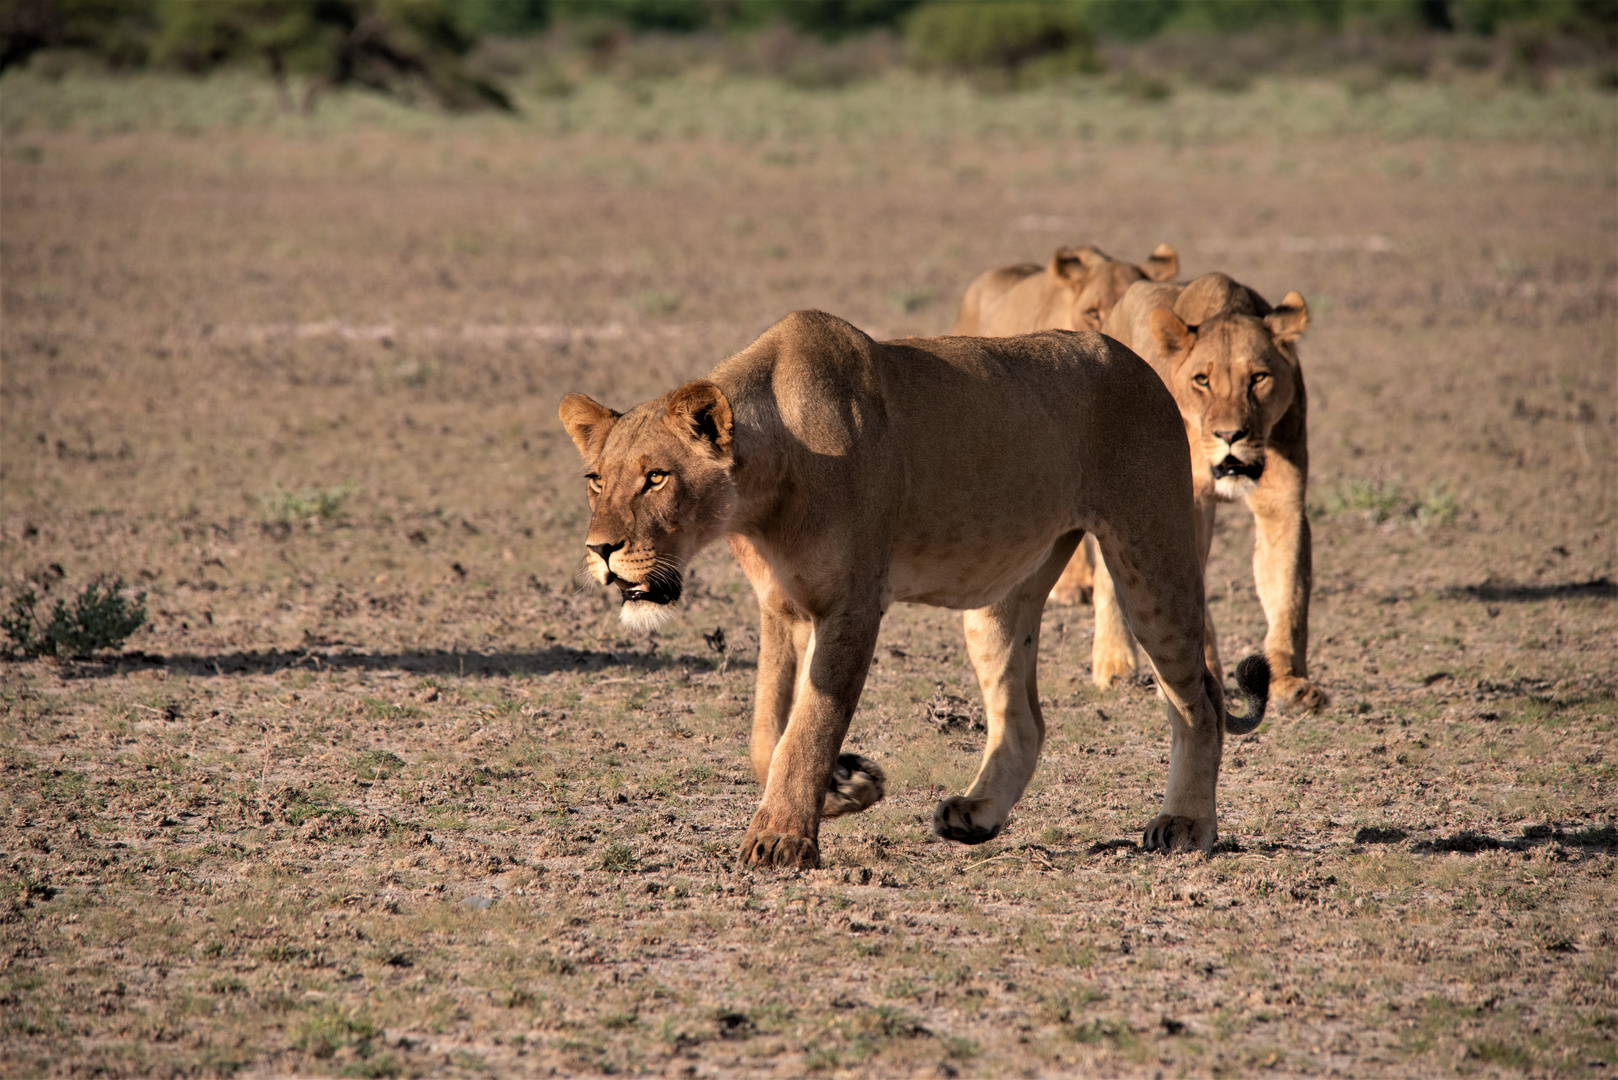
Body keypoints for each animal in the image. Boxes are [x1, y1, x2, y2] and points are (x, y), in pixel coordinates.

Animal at [563, 307, 1268, 867]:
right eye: (596, 480)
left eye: (656, 478)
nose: (601, 550)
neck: (763, 492)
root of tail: (1138, 362)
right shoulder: (782, 609)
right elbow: (770, 733)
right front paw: (844, 787)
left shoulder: (852, 606)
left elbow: (809, 724)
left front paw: (781, 840)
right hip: (999, 594)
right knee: (1024, 719)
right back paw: (976, 816)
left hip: (1150, 556)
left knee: (1199, 701)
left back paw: (1185, 824)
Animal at [1093, 278, 1333, 712]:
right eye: (1202, 380)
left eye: (1258, 377)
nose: (1229, 435)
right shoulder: (1179, 507)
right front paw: (1191, 682)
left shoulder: (1283, 502)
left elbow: (1288, 594)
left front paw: (1292, 684)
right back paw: (1114, 665)